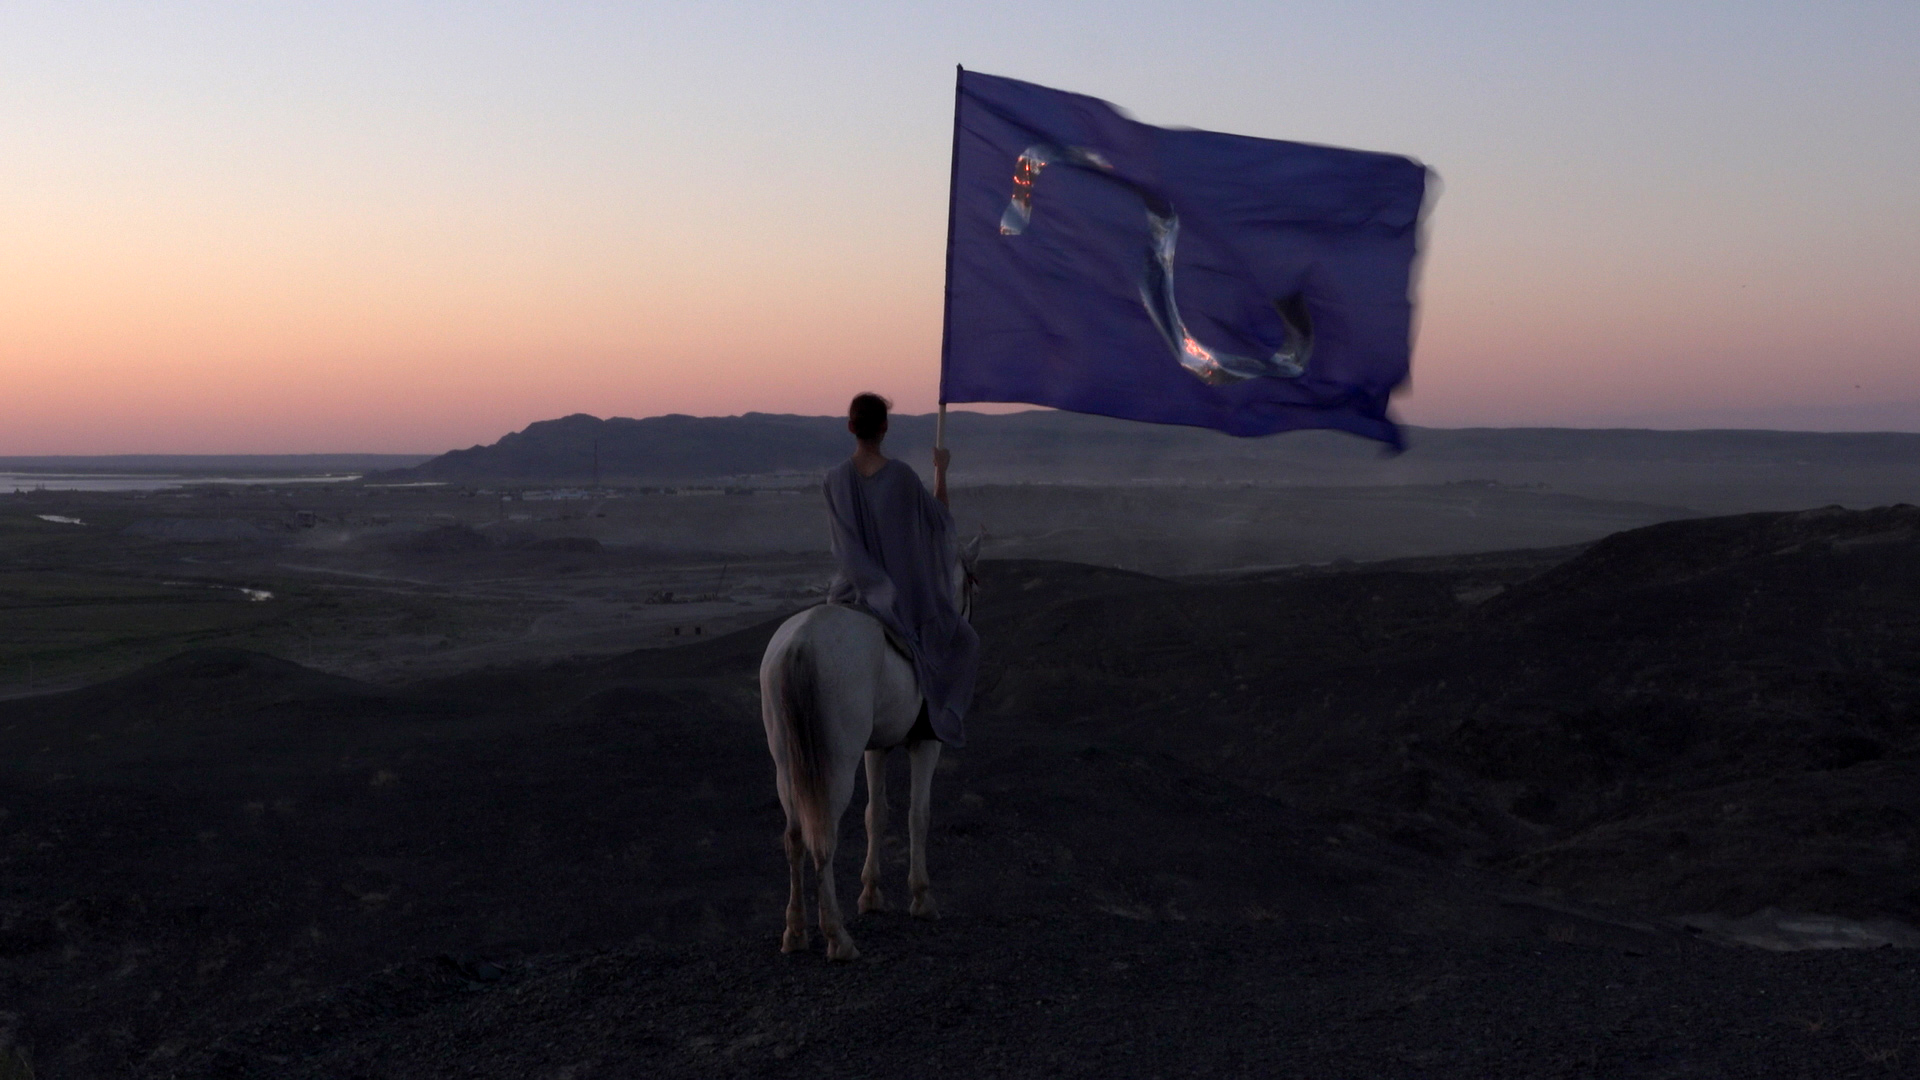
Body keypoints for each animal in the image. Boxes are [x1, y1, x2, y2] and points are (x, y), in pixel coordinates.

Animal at [760, 534, 983, 957]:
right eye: (971, 582)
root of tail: (800, 644)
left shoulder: (875, 749)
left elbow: (875, 814)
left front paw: (871, 895)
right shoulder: (926, 745)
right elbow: (918, 814)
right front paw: (922, 898)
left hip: (786, 767)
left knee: (794, 837)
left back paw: (795, 932)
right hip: (835, 764)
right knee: (823, 838)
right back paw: (837, 936)